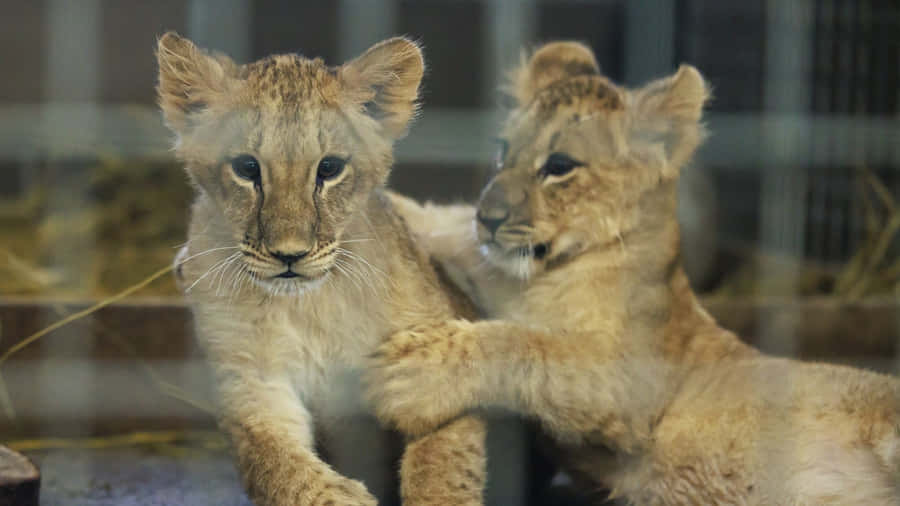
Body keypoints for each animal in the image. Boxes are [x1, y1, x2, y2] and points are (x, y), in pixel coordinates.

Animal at [156, 32, 488, 506]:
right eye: (246, 167)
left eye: (329, 168)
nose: (289, 255)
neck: (310, 306)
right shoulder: (253, 383)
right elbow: (281, 464)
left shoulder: (432, 364)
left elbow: (442, 468)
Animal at [369, 42, 900, 505]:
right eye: (503, 150)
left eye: (559, 165)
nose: (489, 216)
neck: (544, 271)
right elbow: (443, 224)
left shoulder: (636, 379)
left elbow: (531, 347)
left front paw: (416, 371)